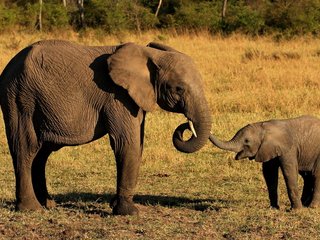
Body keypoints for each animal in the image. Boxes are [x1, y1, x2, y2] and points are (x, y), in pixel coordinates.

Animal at [0, 40, 211, 215]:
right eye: (179, 89)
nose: (186, 126)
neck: (150, 55)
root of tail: (9, 67)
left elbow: (138, 144)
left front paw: (116, 205)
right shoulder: (118, 97)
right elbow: (127, 143)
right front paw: (129, 212)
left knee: (41, 154)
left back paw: (48, 204)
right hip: (20, 99)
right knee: (26, 148)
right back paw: (31, 209)